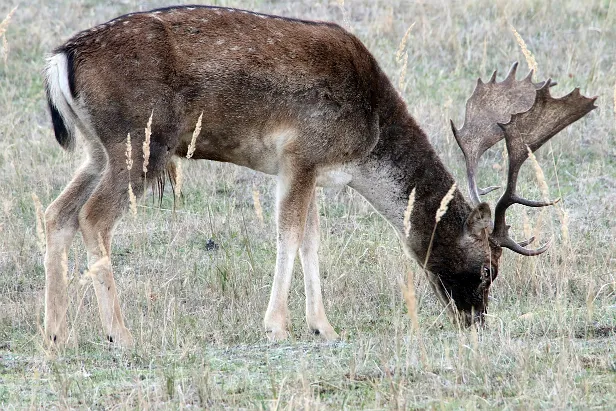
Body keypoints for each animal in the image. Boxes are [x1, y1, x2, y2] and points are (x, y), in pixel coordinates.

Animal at [41, 6, 596, 348]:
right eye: (487, 269)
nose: (476, 320)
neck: (367, 140)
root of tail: (60, 58)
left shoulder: (316, 171)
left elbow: (310, 240)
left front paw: (323, 327)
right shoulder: (300, 155)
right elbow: (288, 235)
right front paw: (277, 326)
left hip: (97, 150)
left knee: (55, 213)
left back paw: (57, 336)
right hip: (139, 141)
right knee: (93, 218)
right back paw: (119, 334)